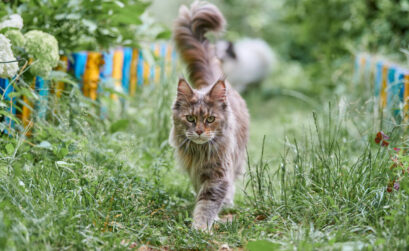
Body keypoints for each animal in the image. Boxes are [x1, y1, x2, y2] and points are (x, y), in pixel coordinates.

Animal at [169, 0, 249, 230]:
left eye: (210, 119)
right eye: (190, 118)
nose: (199, 131)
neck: (200, 152)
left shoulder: (218, 175)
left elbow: (208, 202)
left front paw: (200, 227)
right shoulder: (197, 171)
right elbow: (202, 198)